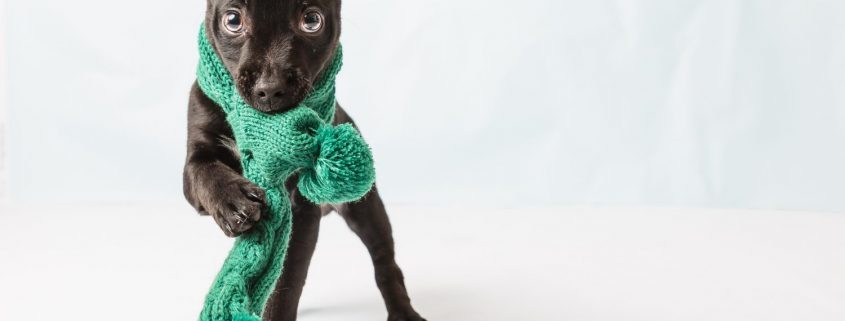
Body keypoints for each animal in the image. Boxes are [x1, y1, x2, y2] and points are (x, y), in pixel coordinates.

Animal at [182, 1, 426, 318]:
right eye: (233, 20)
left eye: (311, 21)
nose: (270, 86)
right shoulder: (194, 164)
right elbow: (204, 171)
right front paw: (232, 202)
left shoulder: (301, 212)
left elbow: (286, 284)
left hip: (366, 208)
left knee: (385, 262)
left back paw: (403, 311)